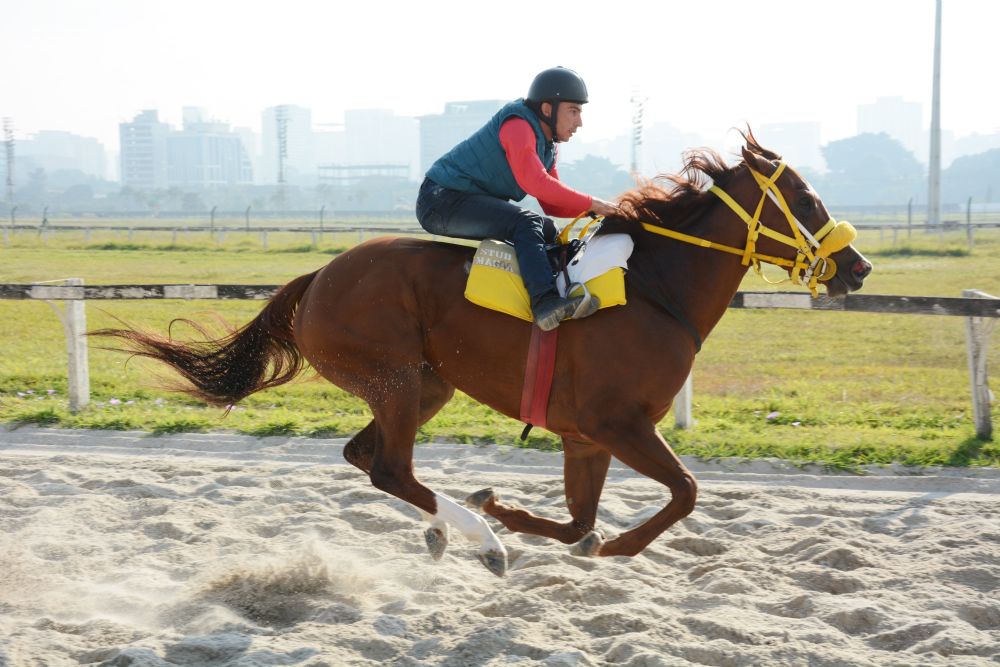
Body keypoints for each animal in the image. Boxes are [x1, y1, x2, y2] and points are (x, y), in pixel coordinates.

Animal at [94, 133, 872, 577]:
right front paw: (585, 540)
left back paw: (454, 529)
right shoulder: (619, 424)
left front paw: (520, 513)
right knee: (390, 467)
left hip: (425, 384)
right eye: (804, 197)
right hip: (395, 377)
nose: (859, 267)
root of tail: (317, 278)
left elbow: (580, 521)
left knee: (368, 459)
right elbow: (683, 492)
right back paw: (481, 540)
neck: (655, 289)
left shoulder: (586, 437)